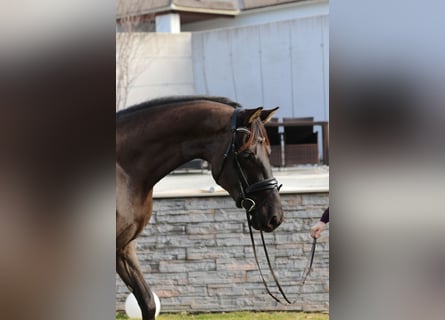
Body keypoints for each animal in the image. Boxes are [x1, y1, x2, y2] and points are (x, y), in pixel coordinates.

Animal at [116, 95, 282, 320]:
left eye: (269, 152)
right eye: (247, 155)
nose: (275, 216)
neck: (125, 170)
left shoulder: (124, 246)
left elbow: (148, 303)